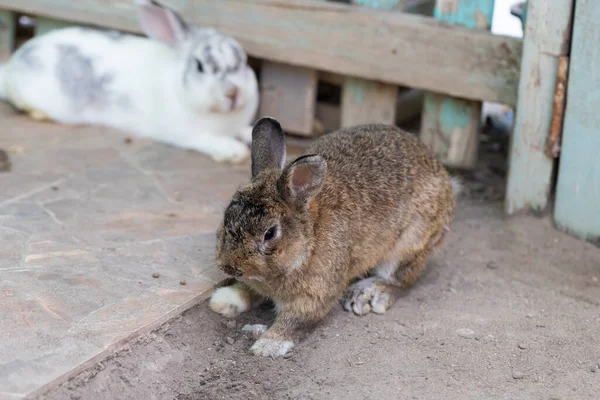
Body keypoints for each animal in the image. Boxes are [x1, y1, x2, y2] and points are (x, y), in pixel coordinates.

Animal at [0, 0, 258, 162]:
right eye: (200, 66)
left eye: (243, 61)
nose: (233, 93)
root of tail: (12, 65)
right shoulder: (187, 134)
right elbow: (207, 140)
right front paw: (234, 151)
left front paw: (248, 133)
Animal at [209, 115, 458, 356]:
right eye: (226, 216)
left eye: (270, 233)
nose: (229, 266)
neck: (309, 239)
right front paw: (224, 300)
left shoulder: (316, 294)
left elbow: (297, 320)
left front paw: (268, 345)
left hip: (410, 242)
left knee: (401, 280)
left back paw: (368, 294)